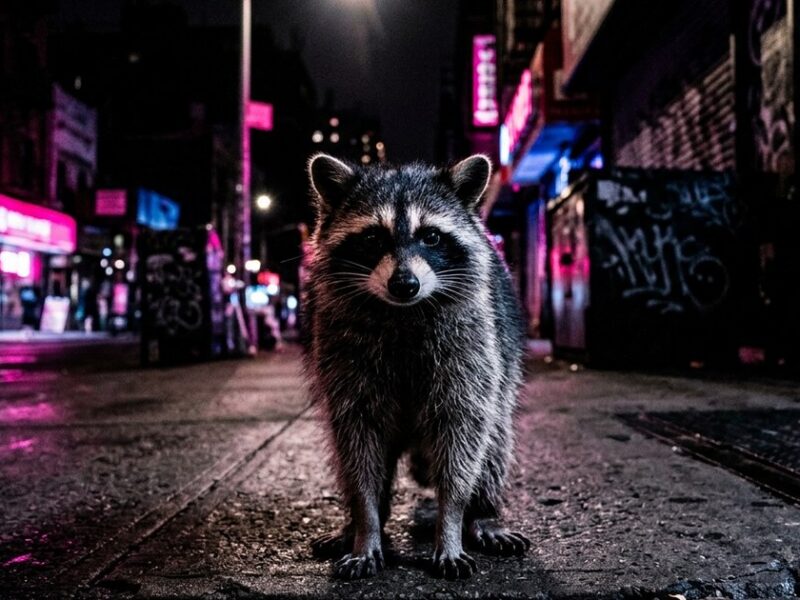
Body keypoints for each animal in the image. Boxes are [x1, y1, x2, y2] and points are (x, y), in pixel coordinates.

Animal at [302, 153, 529, 580]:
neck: (403, 312)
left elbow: (463, 434)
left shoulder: (471, 344)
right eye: (373, 238)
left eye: (432, 237)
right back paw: (352, 525)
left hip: (499, 366)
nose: (404, 284)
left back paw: (485, 512)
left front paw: (451, 523)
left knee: (494, 439)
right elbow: (358, 441)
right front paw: (366, 525)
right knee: (345, 452)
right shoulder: (342, 349)